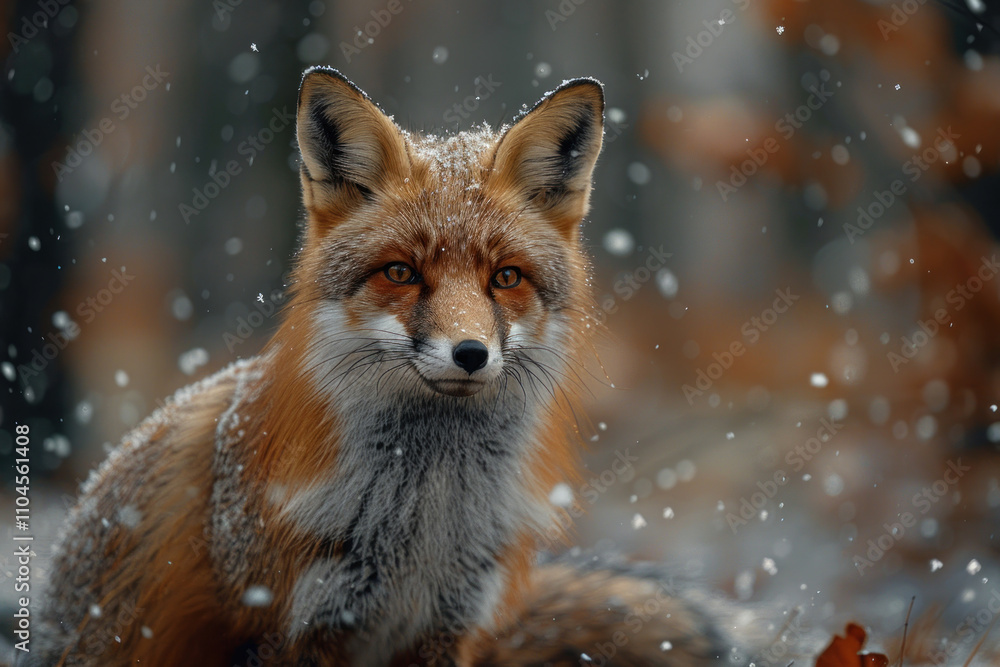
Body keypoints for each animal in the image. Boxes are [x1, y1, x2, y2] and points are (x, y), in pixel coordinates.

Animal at [18, 68, 742, 667]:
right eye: (401, 273)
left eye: (505, 277)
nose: (470, 353)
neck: (424, 517)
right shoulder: (284, 626)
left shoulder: (447, 626)